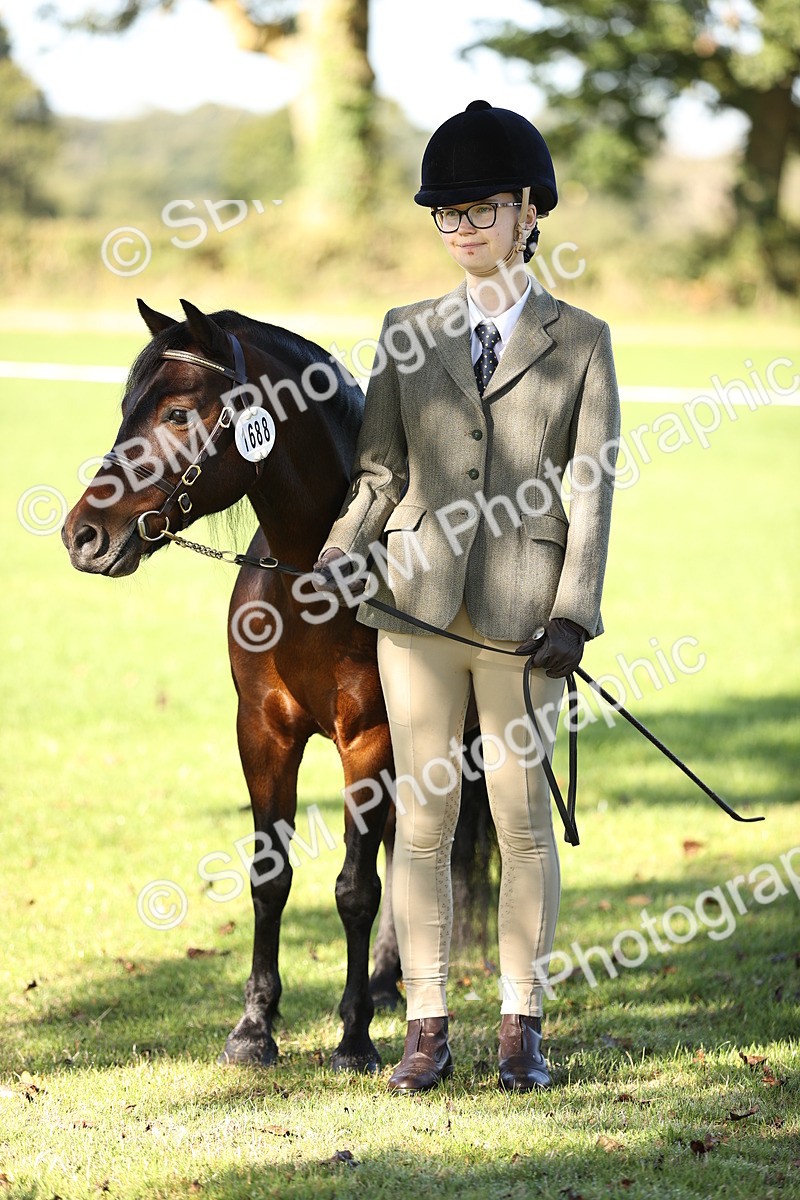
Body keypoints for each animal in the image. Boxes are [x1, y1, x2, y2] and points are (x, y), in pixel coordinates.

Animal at [62, 299, 495, 1072]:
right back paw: (387, 978)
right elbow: (272, 879)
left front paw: (353, 1037)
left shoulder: (369, 743)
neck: (317, 582)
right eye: (127, 409)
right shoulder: (263, 732)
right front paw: (254, 1028)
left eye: (177, 413)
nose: (84, 535)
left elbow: (355, 889)